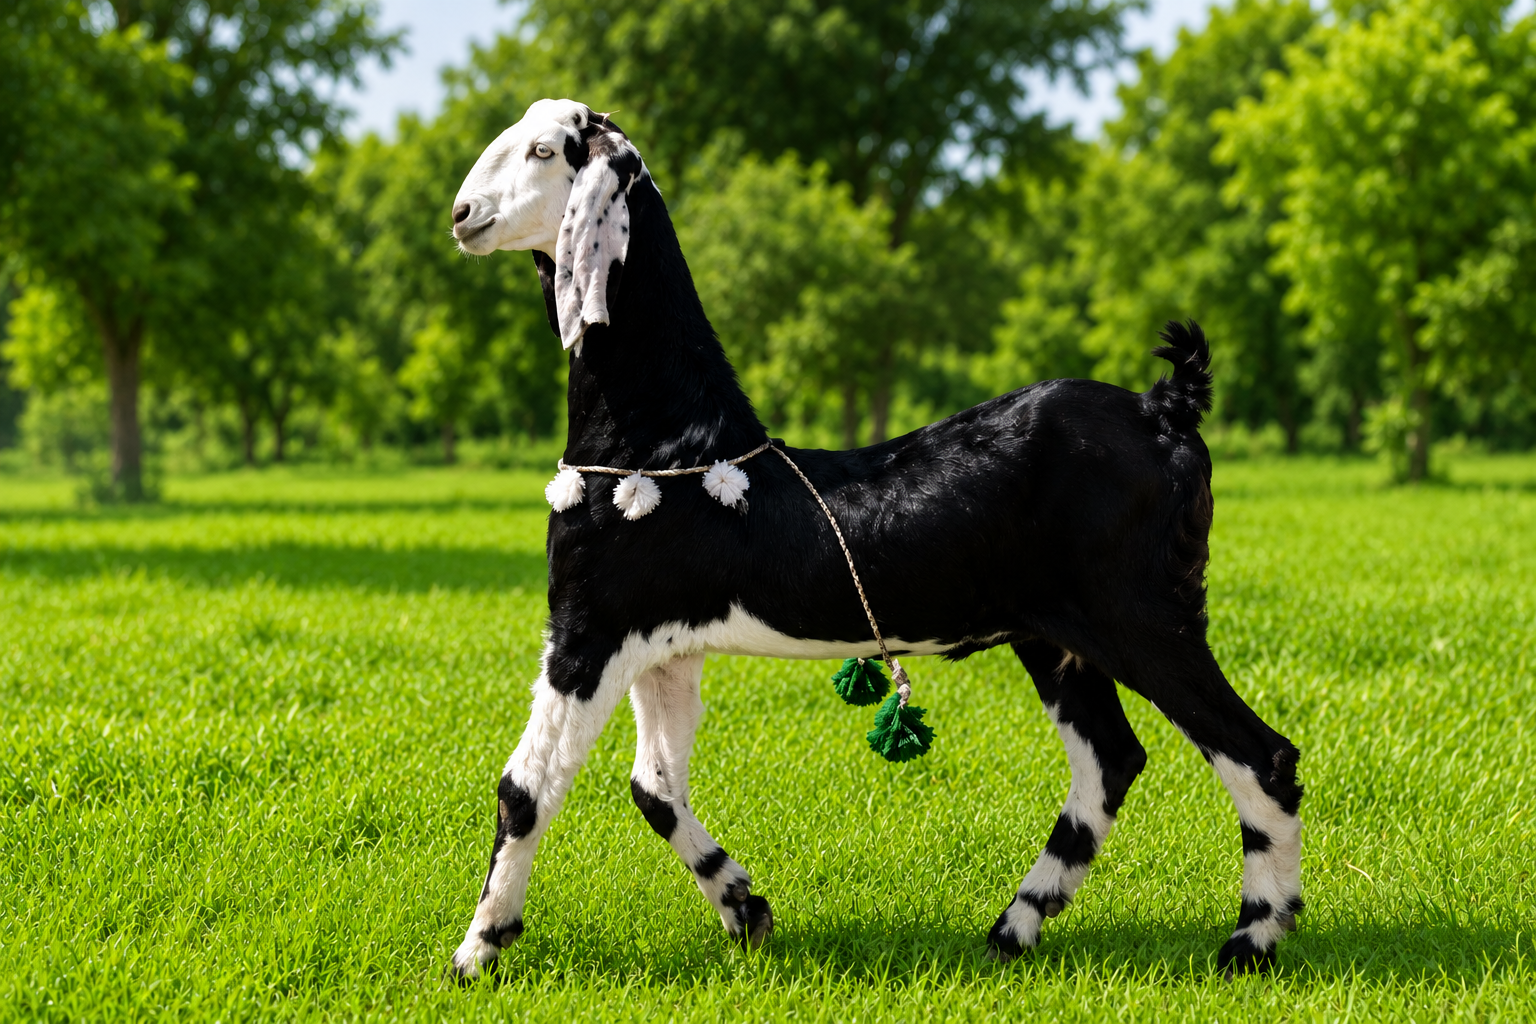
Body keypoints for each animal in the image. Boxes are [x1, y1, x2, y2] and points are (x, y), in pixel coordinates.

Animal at [445, 98, 1303, 980]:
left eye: (544, 150)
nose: (463, 215)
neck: (666, 443)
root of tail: (1168, 407)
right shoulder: (663, 645)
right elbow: (655, 787)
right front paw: (744, 908)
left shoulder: (588, 628)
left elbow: (525, 789)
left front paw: (477, 951)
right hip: (1056, 638)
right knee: (1111, 760)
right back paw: (1015, 927)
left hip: (1143, 614)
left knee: (1260, 754)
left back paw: (1252, 938)